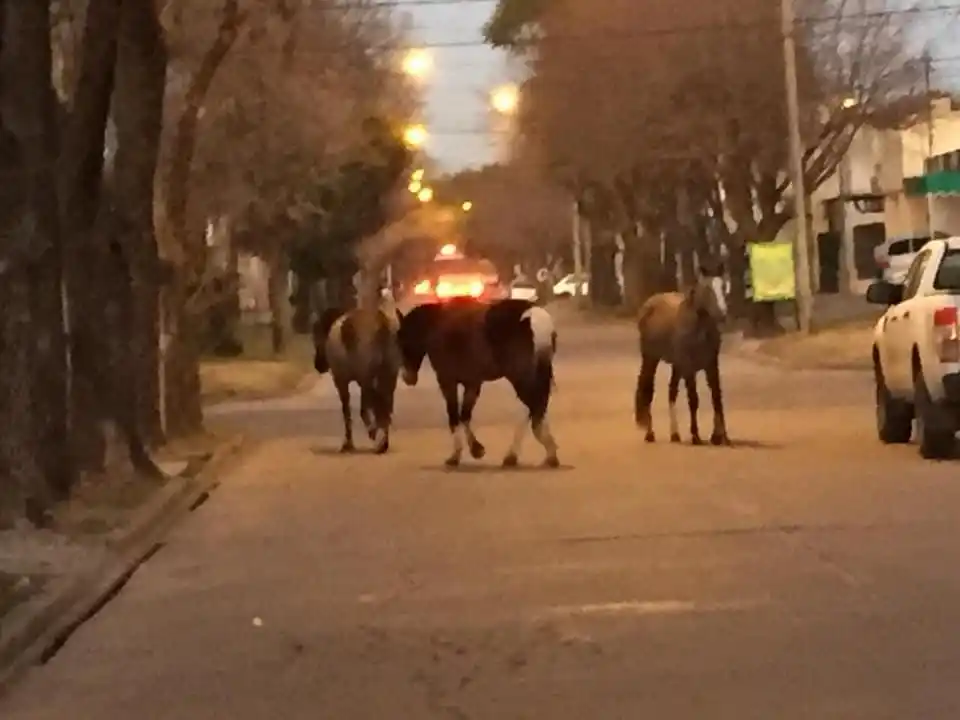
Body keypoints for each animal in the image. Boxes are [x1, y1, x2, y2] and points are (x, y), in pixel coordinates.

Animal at [312, 305, 402, 454]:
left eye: (316, 335)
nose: (317, 365)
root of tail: (381, 322)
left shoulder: (341, 381)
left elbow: (348, 412)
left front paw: (348, 443)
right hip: (389, 376)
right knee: (385, 406)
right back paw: (382, 441)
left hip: (367, 379)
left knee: (373, 407)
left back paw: (375, 434)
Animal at [396, 297, 559, 468]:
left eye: (402, 341)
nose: (407, 377)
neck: (437, 323)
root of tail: (535, 316)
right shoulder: (472, 383)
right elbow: (465, 415)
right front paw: (476, 449)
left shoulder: (447, 381)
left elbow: (455, 416)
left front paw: (459, 454)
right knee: (536, 408)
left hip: (521, 378)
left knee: (534, 407)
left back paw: (525, 454)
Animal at [634, 272, 731, 446]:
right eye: (707, 289)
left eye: (724, 286)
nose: (722, 314)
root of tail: (648, 304)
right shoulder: (688, 368)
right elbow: (693, 399)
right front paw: (696, 435)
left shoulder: (712, 366)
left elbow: (717, 398)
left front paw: (720, 436)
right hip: (651, 358)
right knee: (648, 389)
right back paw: (650, 433)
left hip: (676, 365)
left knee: (671, 392)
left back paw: (675, 434)